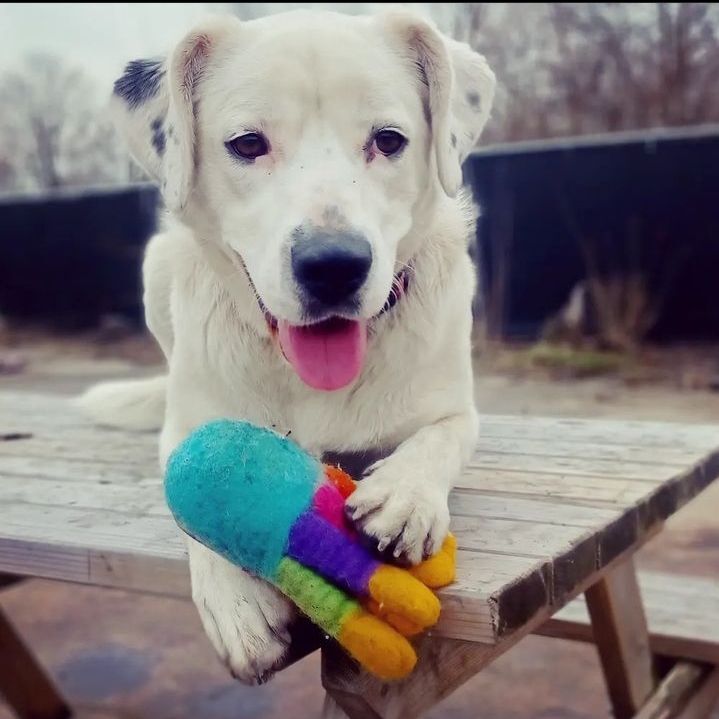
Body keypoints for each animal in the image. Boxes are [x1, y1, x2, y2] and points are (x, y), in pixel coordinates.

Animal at [79, 8, 496, 688]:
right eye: (248, 144)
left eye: (389, 140)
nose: (334, 265)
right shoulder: (188, 427)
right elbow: (186, 485)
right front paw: (237, 602)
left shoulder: (458, 410)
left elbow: (442, 438)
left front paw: (407, 494)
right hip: (156, 264)